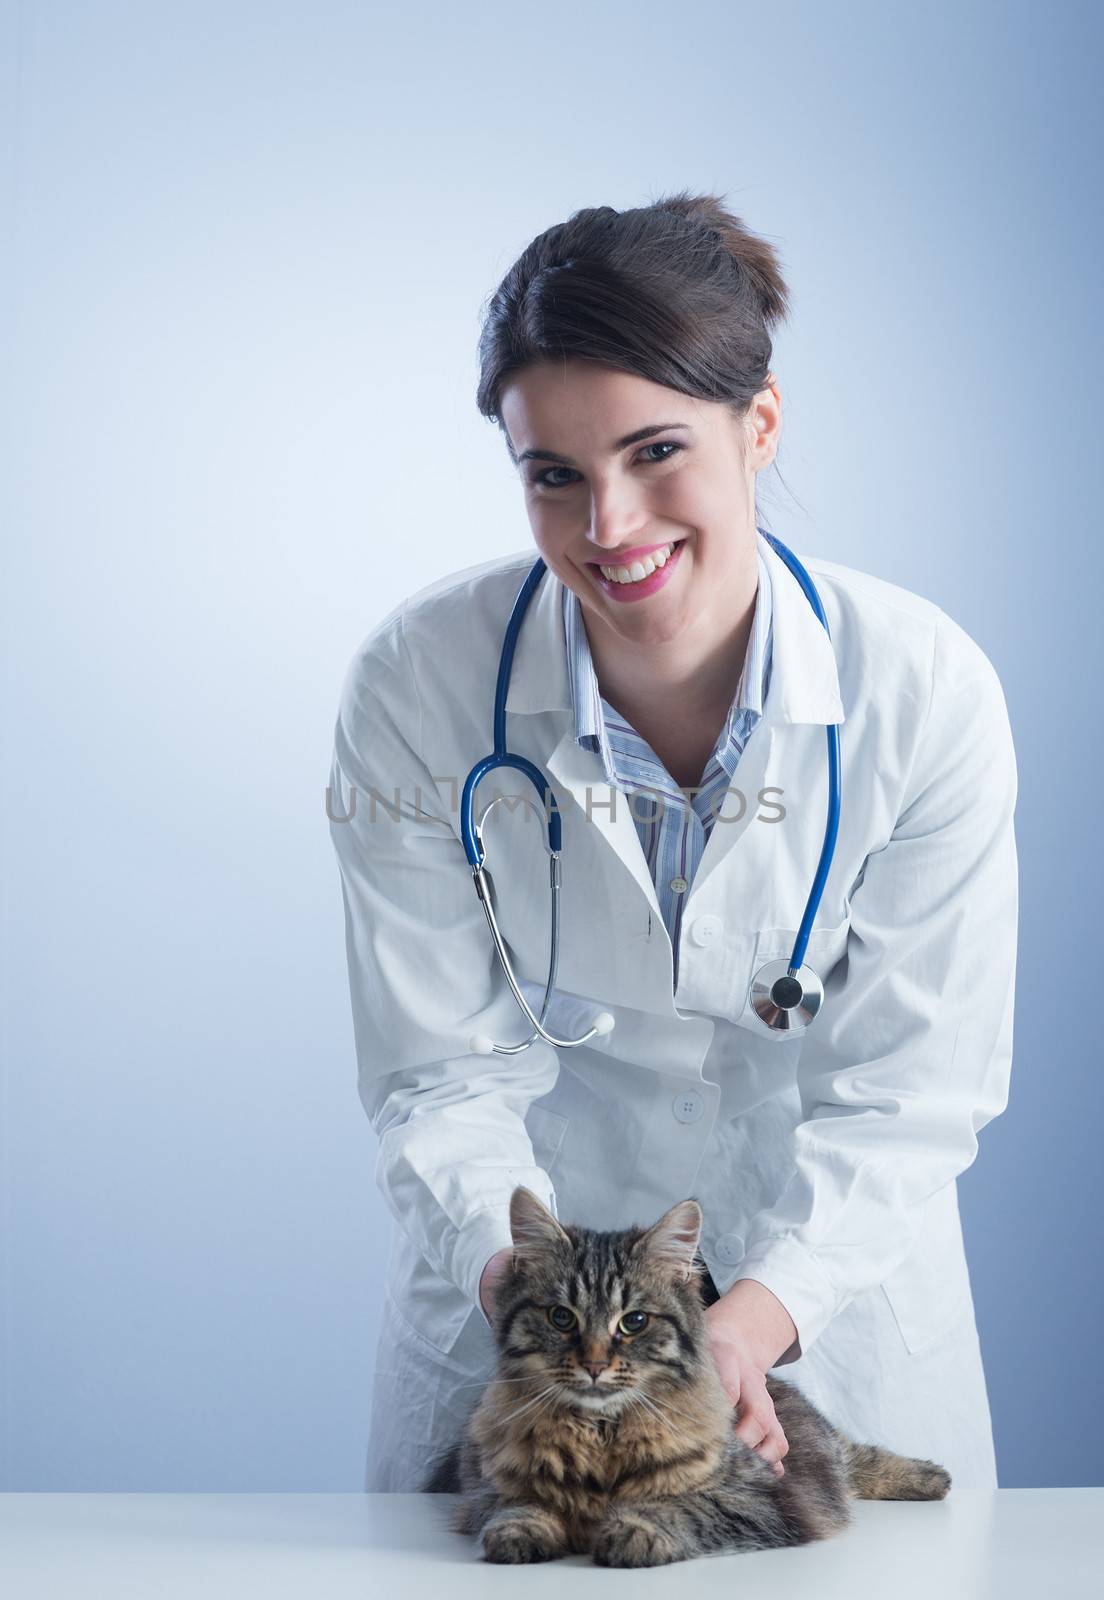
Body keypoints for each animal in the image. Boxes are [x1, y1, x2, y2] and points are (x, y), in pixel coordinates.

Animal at [416, 1184, 947, 1568]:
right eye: (561, 1318)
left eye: (633, 1322)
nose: (594, 1365)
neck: (600, 1435)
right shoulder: (489, 1488)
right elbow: (519, 1507)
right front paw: (522, 1533)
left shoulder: (763, 1496)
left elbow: (683, 1507)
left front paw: (634, 1531)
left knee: (858, 1459)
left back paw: (931, 1478)